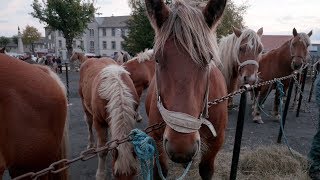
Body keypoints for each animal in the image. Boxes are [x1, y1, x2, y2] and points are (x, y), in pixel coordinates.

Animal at [145, 0, 228, 179]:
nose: (181, 146)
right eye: (157, 59)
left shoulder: (215, 143)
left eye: (208, 59)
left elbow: (206, 170)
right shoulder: (156, 142)